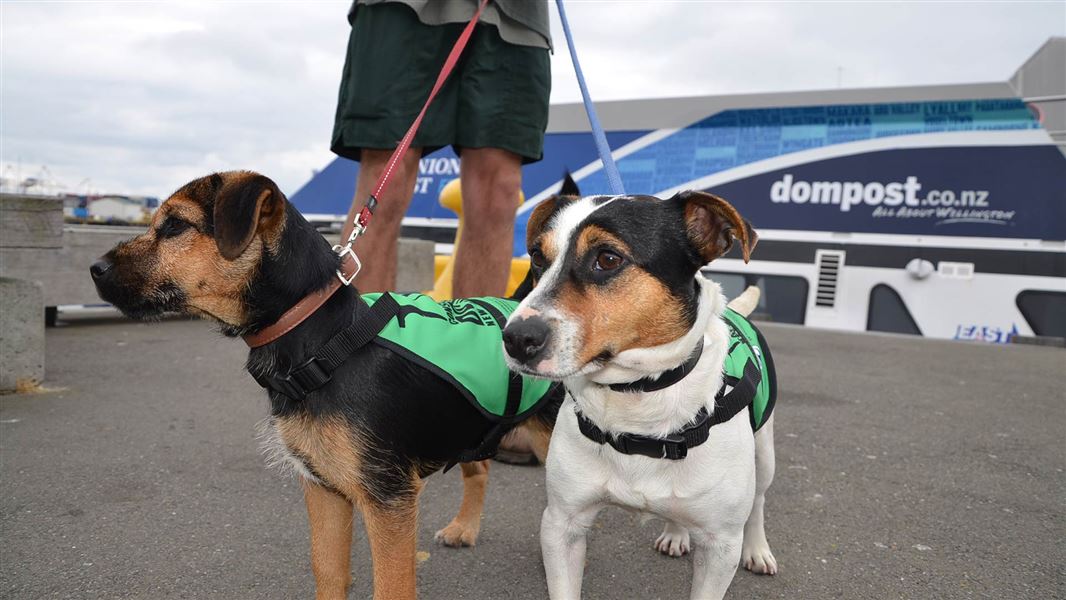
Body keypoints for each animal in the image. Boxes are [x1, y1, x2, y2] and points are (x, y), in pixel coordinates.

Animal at [89, 170, 567, 600]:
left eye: (175, 225)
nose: (94, 268)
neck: (319, 336)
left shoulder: (388, 499)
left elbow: (392, 586)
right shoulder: (323, 487)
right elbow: (327, 568)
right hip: (465, 426)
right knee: (480, 469)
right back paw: (463, 528)